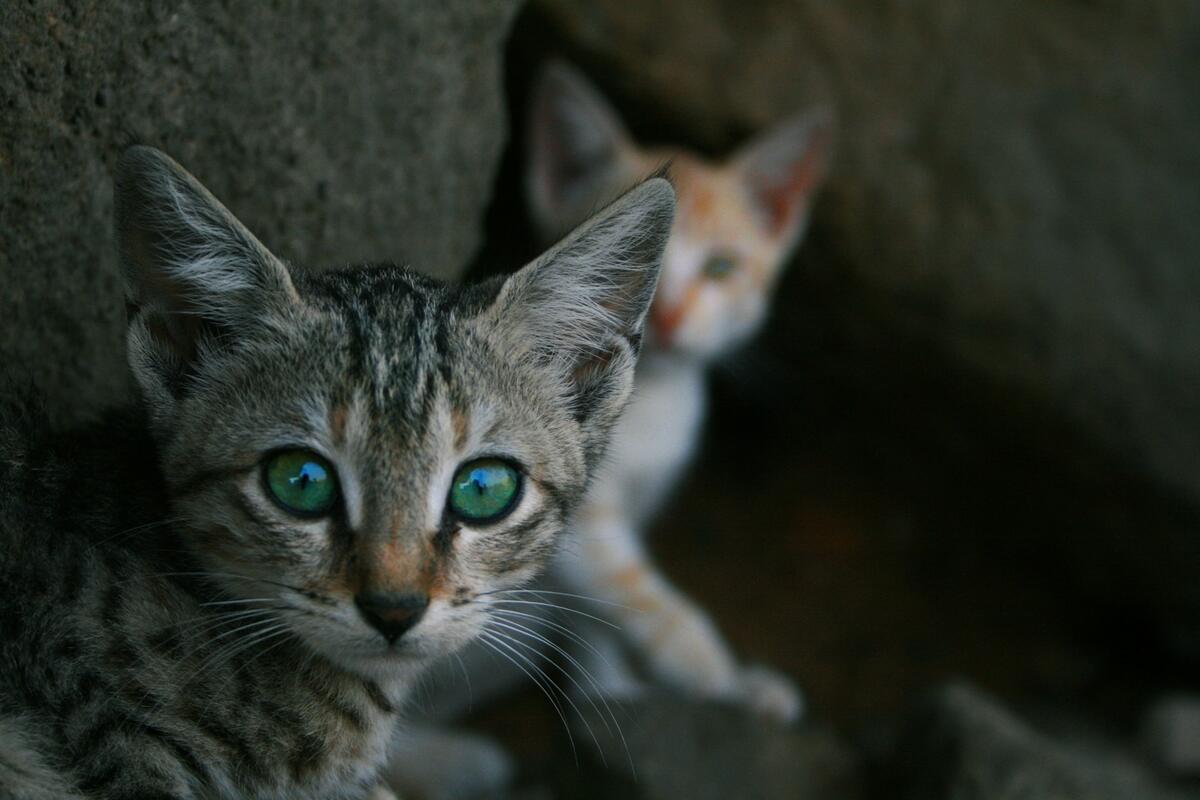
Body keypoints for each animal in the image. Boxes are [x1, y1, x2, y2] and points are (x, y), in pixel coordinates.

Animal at [525, 61, 835, 719]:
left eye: (721, 268)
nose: (666, 319)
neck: (653, 403)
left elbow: (594, 617)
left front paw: (608, 687)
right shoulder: (573, 517)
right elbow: (641, 598)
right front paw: (717, 674)